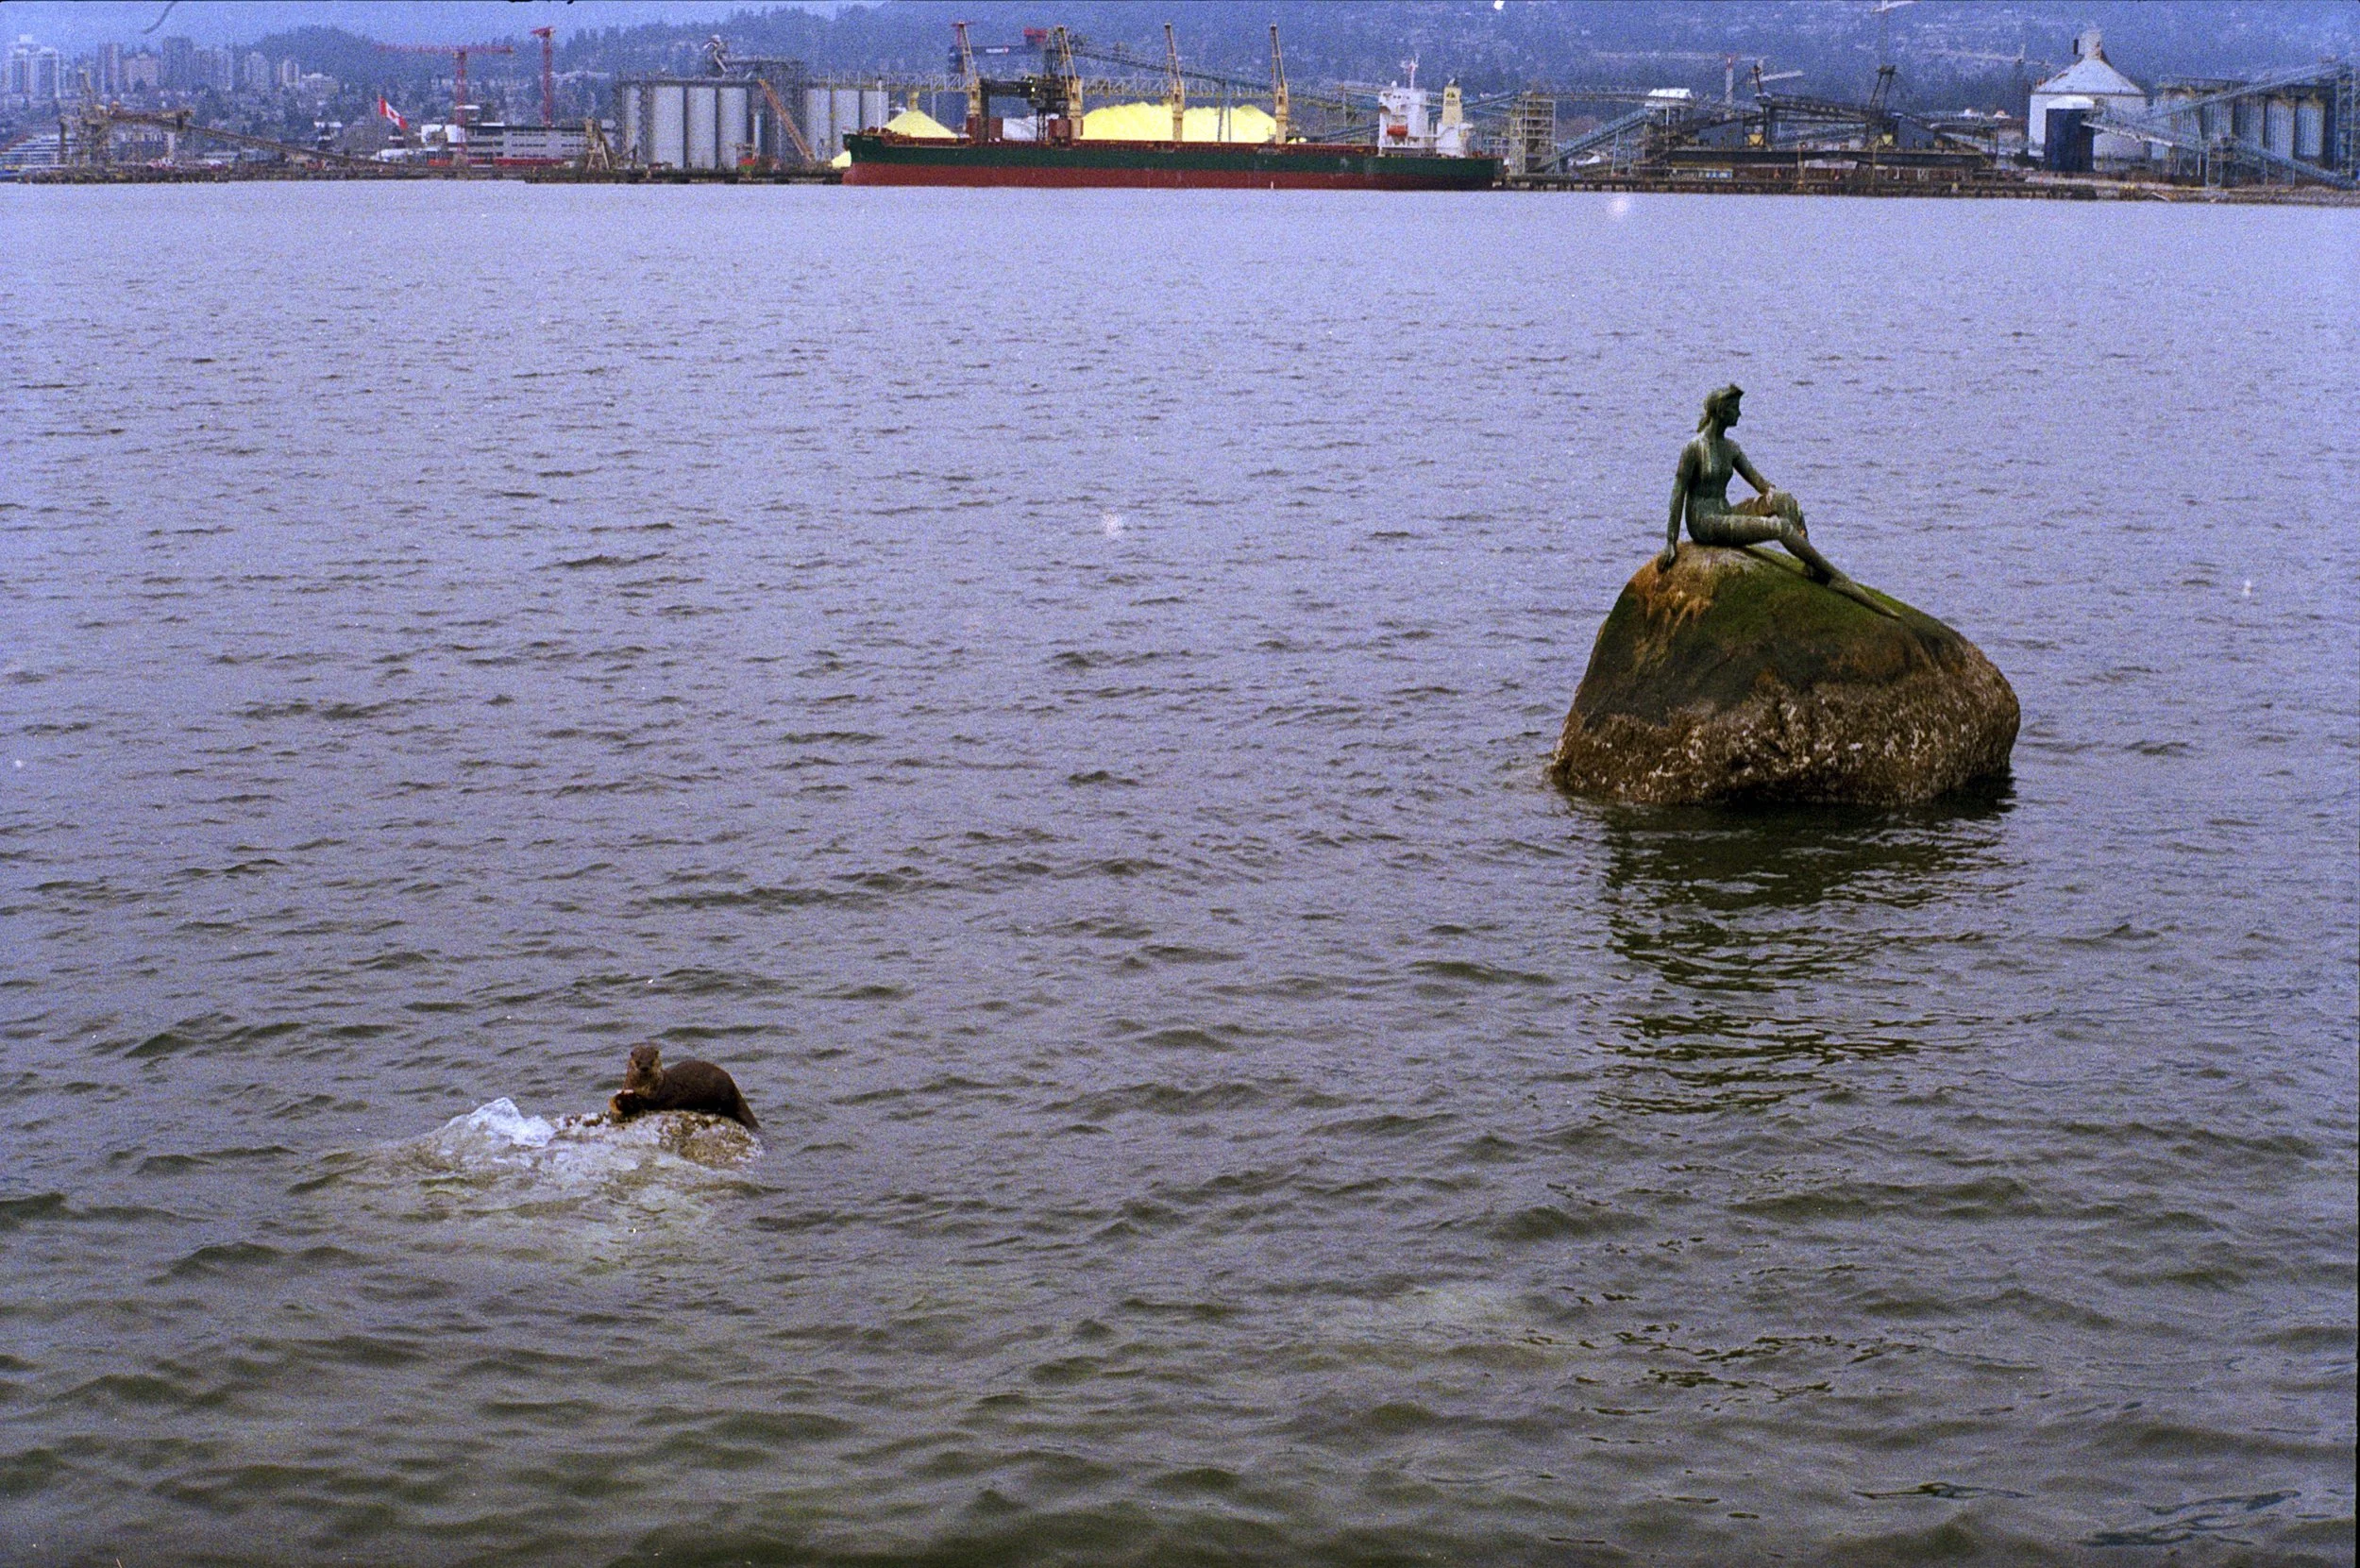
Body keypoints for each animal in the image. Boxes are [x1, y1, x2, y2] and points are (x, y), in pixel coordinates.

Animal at [608, 1043, 759, 1130]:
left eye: (651, 1061)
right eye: (638, 1061)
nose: (644, 1067)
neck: (643, 1087)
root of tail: (734, 1086)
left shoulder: (658, 1094)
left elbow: (648, 1103)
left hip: (723, 1092)